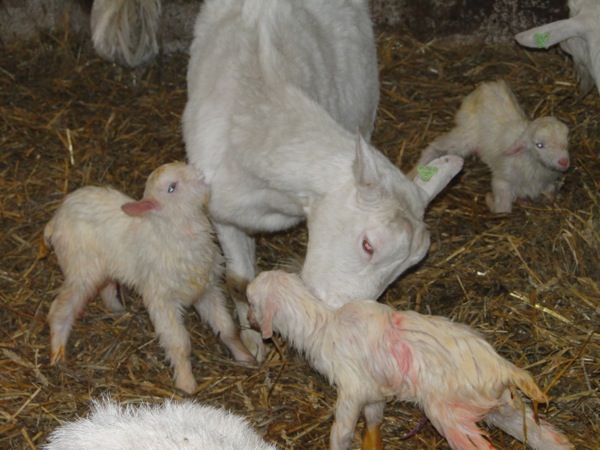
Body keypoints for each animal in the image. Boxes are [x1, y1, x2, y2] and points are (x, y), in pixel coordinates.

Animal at [42, 162, 255, 394]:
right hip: (80, 269)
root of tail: (55, 220)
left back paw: (118, 311)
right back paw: (57, 354)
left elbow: (227, 329)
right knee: (60, 309)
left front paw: (245, 357)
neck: (173, 233)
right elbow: (179, 343)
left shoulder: (206, 289)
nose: (202, 176)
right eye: (171, 188)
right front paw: (186, 384)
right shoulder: (161, 298)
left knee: (106, 287)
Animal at [183, 0, 464, 360]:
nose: (349, 313)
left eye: (411, 264)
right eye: (368, 245)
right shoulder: (223, 210)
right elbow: (238, 280)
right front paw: (251, 340)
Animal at [246, 270, 576, 450]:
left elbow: (341, 432)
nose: (248, 320)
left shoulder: (352, 387)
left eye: (251, 302)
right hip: (504, 408)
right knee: (549, 438)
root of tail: (504, 368)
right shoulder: (374, 392)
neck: (323, 325)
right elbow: (374, 424)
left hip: (448, 412)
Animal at [414, 80, 568, 214]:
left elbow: (549, 196)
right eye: (539, 145)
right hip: (466, 135)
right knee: (436, 146)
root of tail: (485, 86)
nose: (564, 162)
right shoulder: (502, 181)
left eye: (567, 139)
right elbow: (502, 209)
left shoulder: (548, 184)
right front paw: (490, 200)